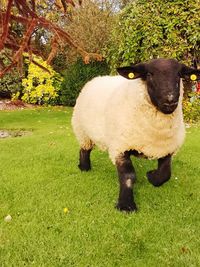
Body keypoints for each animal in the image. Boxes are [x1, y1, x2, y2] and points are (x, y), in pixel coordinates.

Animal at [71, 59, 199, 214]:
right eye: (149, 74)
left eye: (179, 74)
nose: (170, 100)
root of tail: (96, 78)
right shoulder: (120, 147)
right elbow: (128, 176)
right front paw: (126, 205)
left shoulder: (167, 147)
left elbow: (166, 173)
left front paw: (152, 176)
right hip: (83, 130)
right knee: (84, 150)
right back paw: (84, 167)